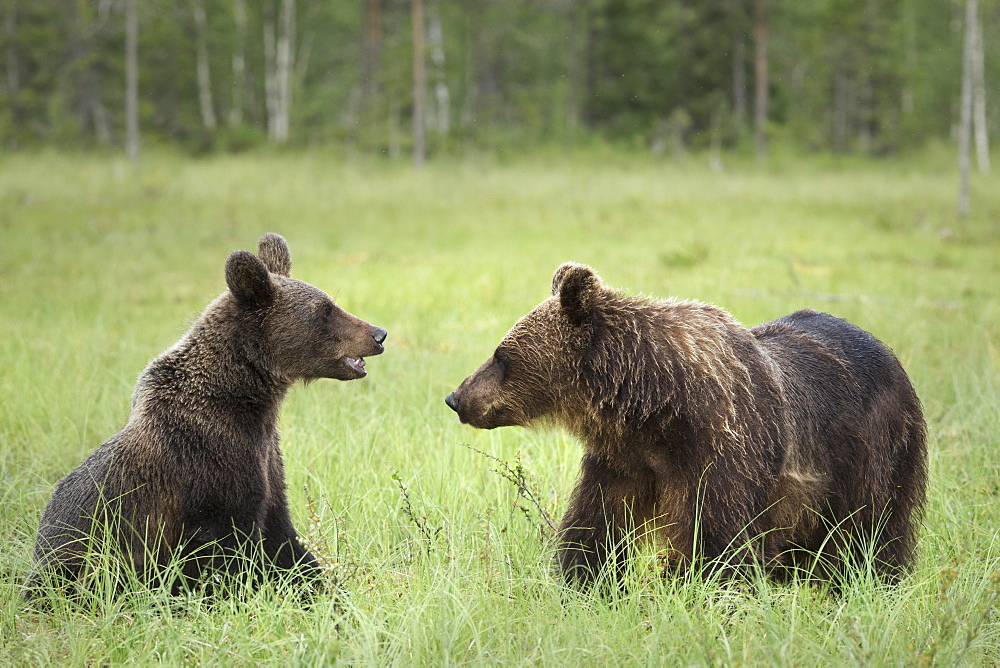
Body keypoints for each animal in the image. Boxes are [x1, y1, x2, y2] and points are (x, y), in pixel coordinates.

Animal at [26, 235, 386, 600]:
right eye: (325, 310)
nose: (378, 334)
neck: (246, 399)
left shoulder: (266, 457)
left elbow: (282, 536)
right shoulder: (209, 459)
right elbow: (228, 548)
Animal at [448, 262, 928, 588]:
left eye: (501, 355)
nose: (456, 398)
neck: (656, 405)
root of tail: (889, 353)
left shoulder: (722, 451)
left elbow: (716, 541)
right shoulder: (624, 458)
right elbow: (597, 525)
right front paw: (588, 582)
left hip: (872, 451)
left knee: (875, 532)